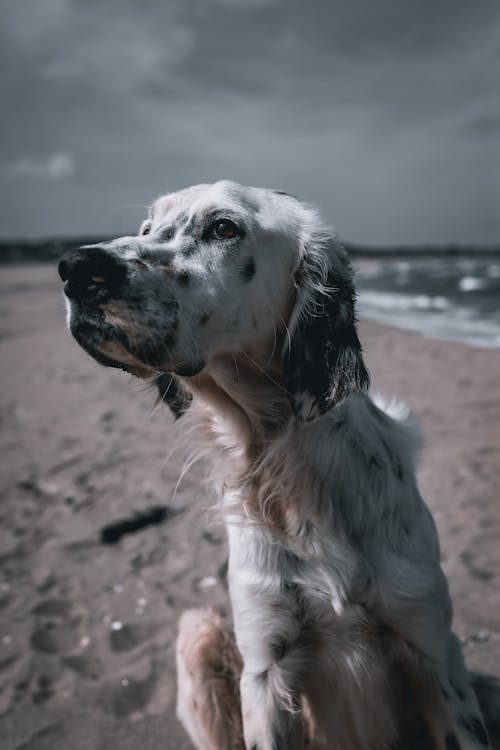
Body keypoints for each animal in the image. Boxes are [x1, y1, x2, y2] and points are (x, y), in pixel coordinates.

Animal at [58, 184, 496, 750]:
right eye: (147, 227)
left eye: (224, 227)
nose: (75, 268)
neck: (286, 463)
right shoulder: (265, 667)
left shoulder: (433, 654)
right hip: (199, 630)